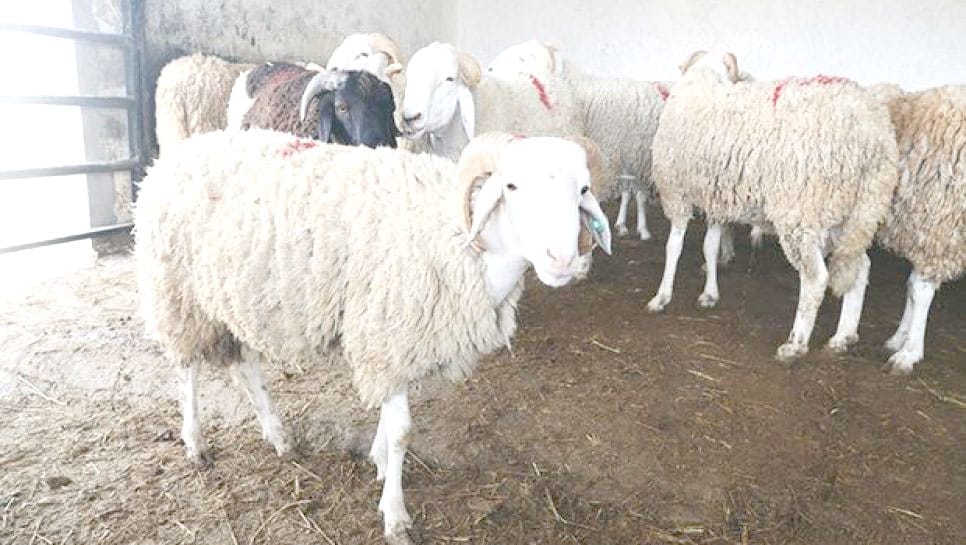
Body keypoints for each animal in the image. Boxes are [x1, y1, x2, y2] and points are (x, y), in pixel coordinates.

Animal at [134, 128, 612, 544]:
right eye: (511, 186)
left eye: (583, 190)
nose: (561, 259)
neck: (463, 242)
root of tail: (171, 156)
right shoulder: (388, 336)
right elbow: (402, 431)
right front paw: (395, 514)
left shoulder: (394, 342)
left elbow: (388, 420)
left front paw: (379, 462)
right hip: (178, 290)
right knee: (187, 368)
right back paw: (196, 443)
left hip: (239, 295)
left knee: (247, 366)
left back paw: (279, 436)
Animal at [647, 51, 899, 361]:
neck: (705, 77)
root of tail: (874, 135)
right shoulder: (717, 198)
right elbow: (710, 247)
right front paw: (709, 294)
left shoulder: (675, 193)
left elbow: (673, 247)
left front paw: (662, 296)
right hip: (853, 213)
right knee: (859, 267)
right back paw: (843, 337)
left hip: (800, 211)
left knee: (816, 278)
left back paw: (795, 344)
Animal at [875, 85, 966, 374]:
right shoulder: (924, 233)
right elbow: (911, 286)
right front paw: (900, 338)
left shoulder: (939, 232)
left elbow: (920, 291)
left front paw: (909, 353)